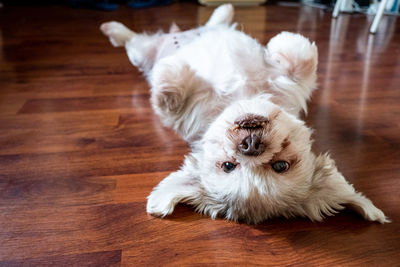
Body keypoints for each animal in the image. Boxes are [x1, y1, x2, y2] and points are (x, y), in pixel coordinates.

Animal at [99, 4, 388, 224]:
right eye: (228, 165)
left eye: (280, 166)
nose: (250, 145)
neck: (243, 96)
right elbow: (301, 57)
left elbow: (168, 91)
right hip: (148, 49)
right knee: (140, 36)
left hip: (143, 51)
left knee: (138, 38)